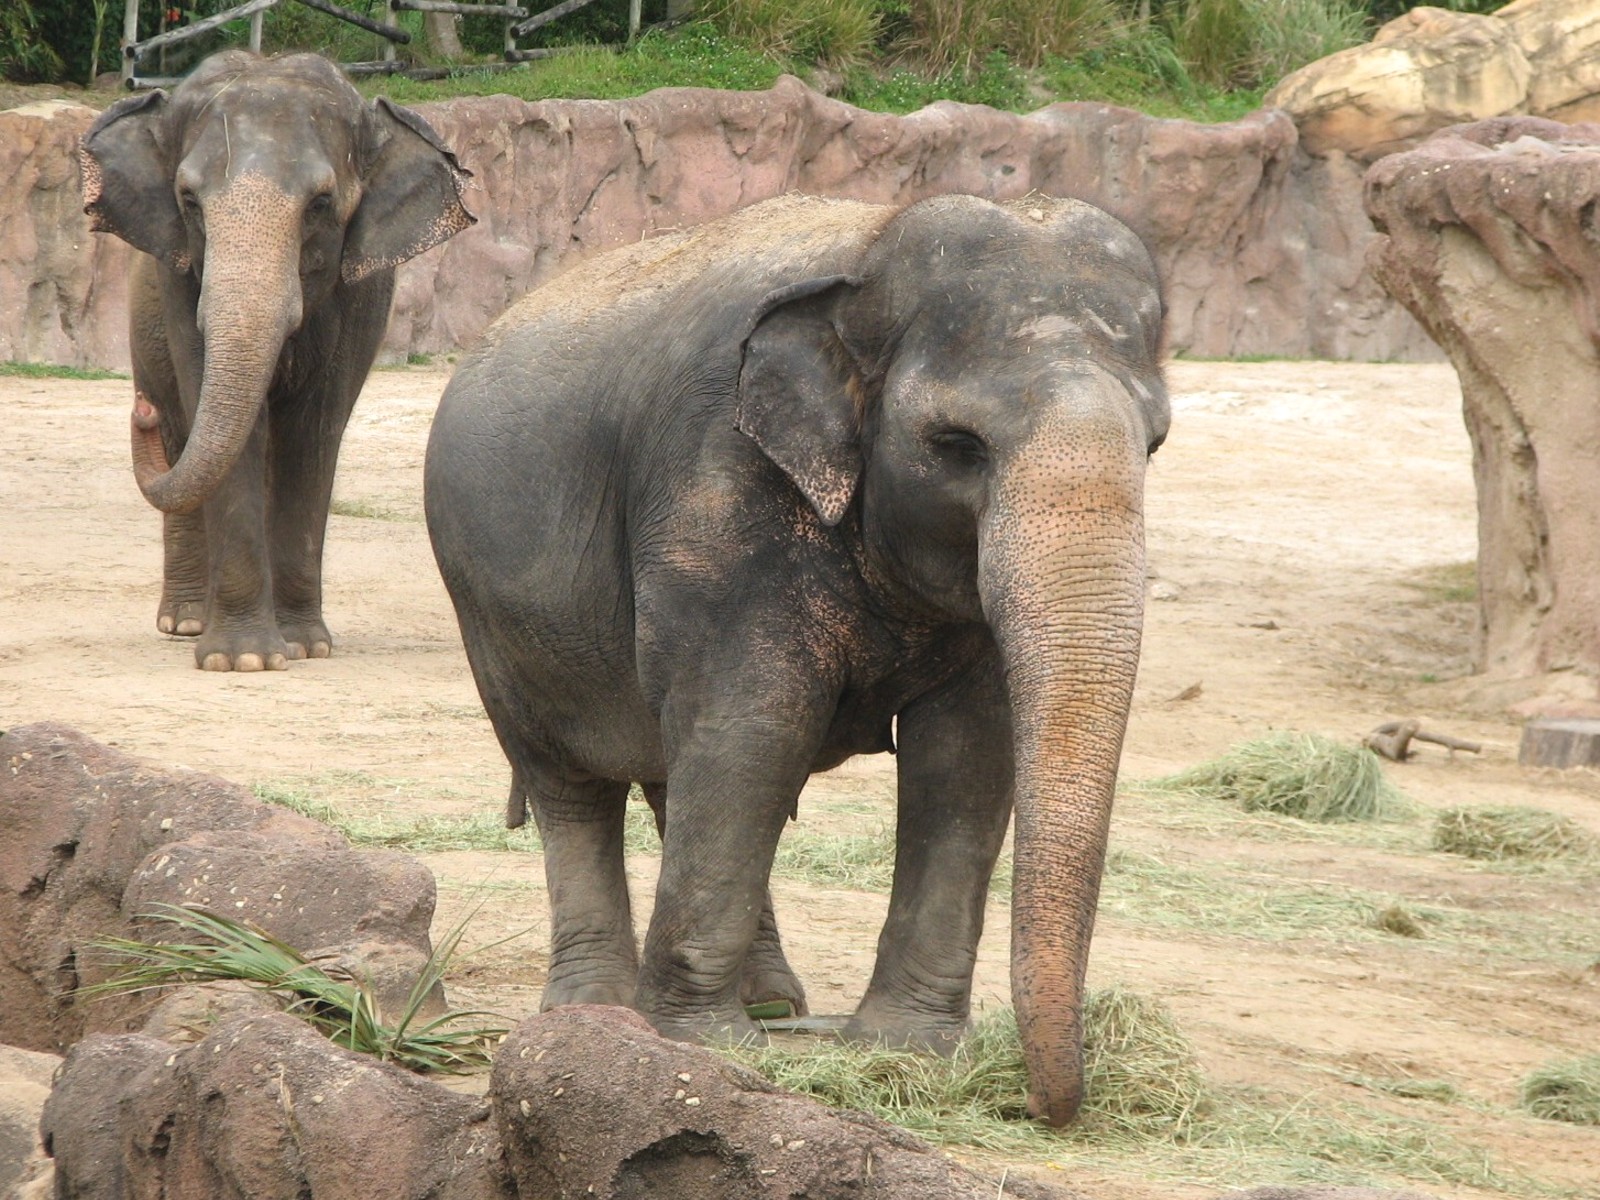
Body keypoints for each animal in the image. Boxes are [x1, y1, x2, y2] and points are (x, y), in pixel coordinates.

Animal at [78, 50, 474, 671]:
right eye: (189, 202)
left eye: (320, 205)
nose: (137, 413)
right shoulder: (178, 284)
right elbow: (223, 423)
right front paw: (243, 660)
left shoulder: (361, 296)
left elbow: (312, 433)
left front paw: (305, 647)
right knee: (180, 434)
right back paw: (186, 622)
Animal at [424, 192, 1168, 1126]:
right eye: (958, 445)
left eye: (1155, 444)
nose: (1046, 1107)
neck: (871, 250)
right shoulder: (713, 487)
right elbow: (757, 724)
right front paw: (703, 1047)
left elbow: (966, 755)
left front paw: (908, 1049)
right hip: (493, 619)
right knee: (574, 784)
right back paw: (596, 1008)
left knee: (673, 771)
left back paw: (773, 1004)